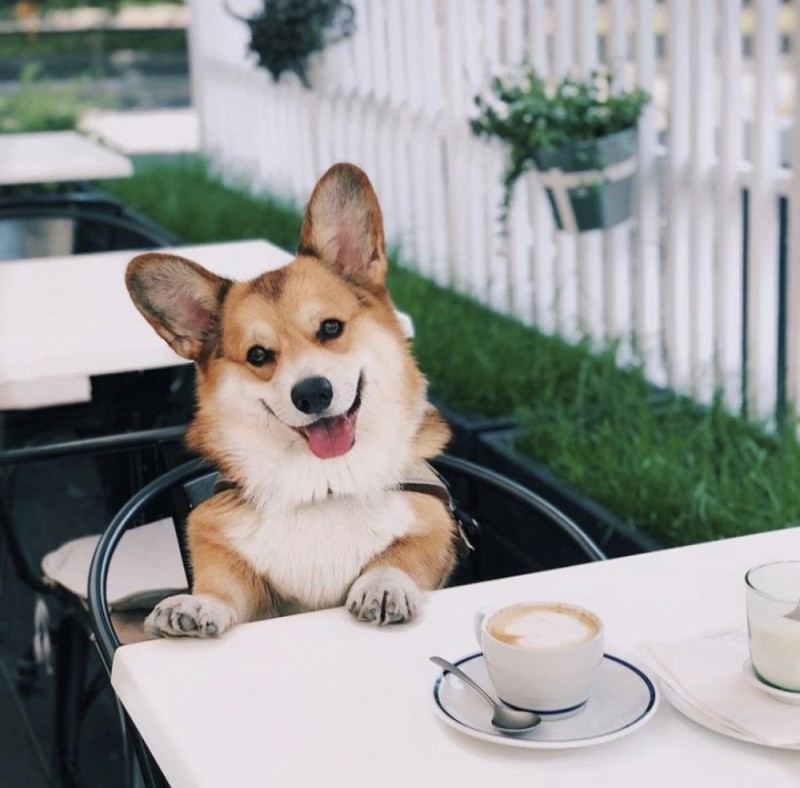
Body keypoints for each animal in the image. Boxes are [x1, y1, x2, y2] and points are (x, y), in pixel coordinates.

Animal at [126, 163, 462, 636]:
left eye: (331, 328)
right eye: (258, 356)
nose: (312, 393)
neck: (323, 487)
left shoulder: (432, 526)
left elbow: (400, 556)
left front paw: (383, 586)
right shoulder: (229, 555)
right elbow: (224, 586)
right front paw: (197, 605)